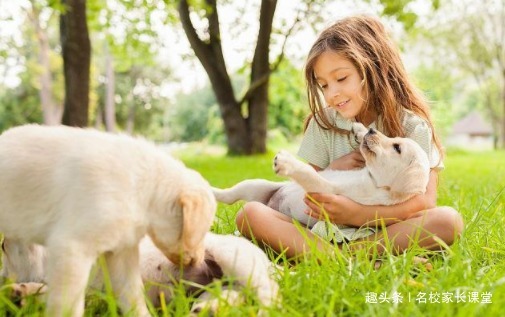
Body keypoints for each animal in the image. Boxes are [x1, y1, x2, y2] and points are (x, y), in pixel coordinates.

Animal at [0, 124, 215, 316]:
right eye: (204, 231)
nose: (201, 262)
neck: (144, 188)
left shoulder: (121, 252)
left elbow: (133, 297)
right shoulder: (72, 248)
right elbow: (68, 304)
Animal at [0, 232, 280, 314]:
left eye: (2, 246)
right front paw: (21, 293)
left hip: (235, 259)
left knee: (269, 293)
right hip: (218, 282)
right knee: (230, 293)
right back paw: (207, 309)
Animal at [213, 121, 430, 227]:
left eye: (397, 148)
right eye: (394, 139)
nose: (371, 130)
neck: (372, 178)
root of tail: (269, 203)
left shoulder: (324, 190)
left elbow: (308, 172)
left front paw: (287, 162)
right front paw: (359, 128)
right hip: (255, 184)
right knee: (228, 195)